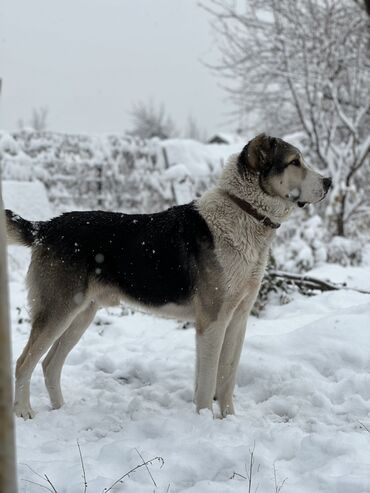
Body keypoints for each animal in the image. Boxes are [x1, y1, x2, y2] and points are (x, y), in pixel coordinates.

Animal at [5, 135, 330, 418]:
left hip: (81, 314)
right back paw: (23, 411)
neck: (245, 212)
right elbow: (208, 383)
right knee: (23, 363)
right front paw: (205, 422)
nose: (329, 182)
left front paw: (228, 420)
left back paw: (61, 410)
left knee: (50, 364)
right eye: (294, 162)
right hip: (57, 310)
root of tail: (45, 227)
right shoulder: (212, 322)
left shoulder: (238, 319)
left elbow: (226, 378)